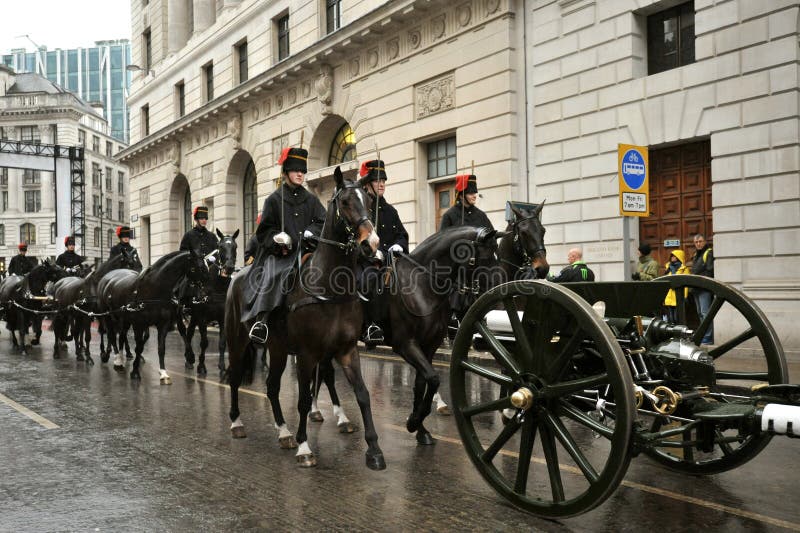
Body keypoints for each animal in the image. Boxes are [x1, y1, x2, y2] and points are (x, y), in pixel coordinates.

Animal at [95, 247, 209, 380]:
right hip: (107, 316)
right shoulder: (139, 324)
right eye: (200, 267)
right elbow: (139, 347)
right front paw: (135, 371)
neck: (155, 290)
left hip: (124, 319)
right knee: (111, 335)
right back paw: (116, 359)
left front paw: (163, 372)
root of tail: (107, 276)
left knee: (122, 336)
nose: (204, 295)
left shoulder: (163, 323)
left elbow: (161, 347)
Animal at [181, 229, 241, 374]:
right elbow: (204, 342)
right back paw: (189, 359)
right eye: (221, 247)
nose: (229, 268)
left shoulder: (223, 318)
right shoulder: (202, 318)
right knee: (187, 334)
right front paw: (201, 366)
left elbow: (222, 343)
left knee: (189, 333)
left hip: (194, 317)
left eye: (235, 247)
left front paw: (222, 366)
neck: (216, 286)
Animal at [223, 168, 386, 468]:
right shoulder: (308, 354)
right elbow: (303, 398)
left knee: (272, 387)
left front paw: (374, 450)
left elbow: (362, 394)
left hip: (276, 349)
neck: (330, 288)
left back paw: (283, 431)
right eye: (345, 202)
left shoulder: (346, 351)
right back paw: (237, 423)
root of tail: (237, 276)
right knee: (236, 378)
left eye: (369, 202)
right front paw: (304, 447)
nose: (371, 244)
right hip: (238, 342)